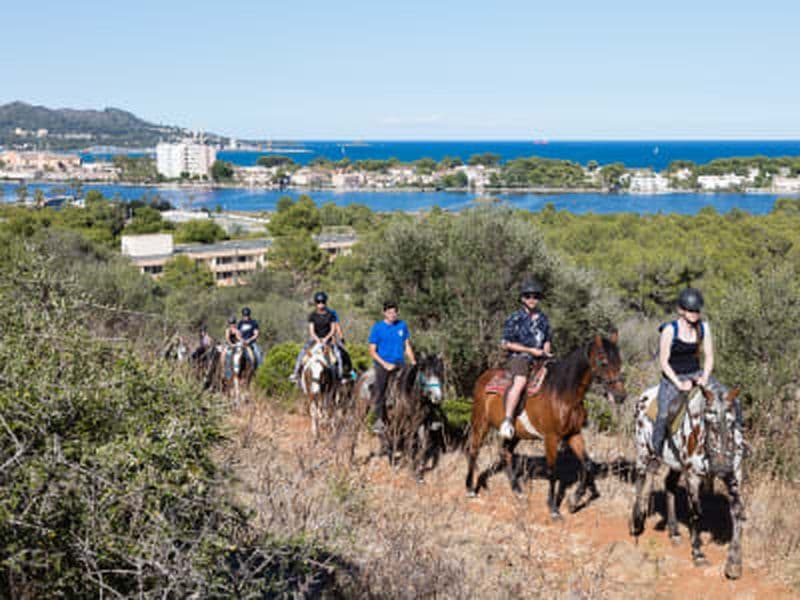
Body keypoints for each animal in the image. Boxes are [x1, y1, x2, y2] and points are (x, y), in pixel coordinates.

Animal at [466, 333, 627, 519]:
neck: (563, 394)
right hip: (481, 422)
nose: (620, 396)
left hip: (515, 434)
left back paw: (518, 491)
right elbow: (552, 471)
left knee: (505, 453)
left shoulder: (573, 434)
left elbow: (587, 465)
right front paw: (553, 508)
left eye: (619, 360)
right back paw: (470, 489)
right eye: (603, 361)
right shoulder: (551, 438)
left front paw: (574, 501)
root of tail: (484, 377)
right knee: (474, 450)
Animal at [629, 382, 745, 579]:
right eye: (708, 420)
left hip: (675, 463)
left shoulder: (733, 476)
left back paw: (674, 532)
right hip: (643, 450)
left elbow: (737, 512)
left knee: (669, 485)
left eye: (732, 422)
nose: (721, 466)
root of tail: (644, 396)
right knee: (640, 478)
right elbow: (696, 513)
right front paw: (698, 554)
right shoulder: (692, 476)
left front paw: (734, 564)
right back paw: (636, 521)